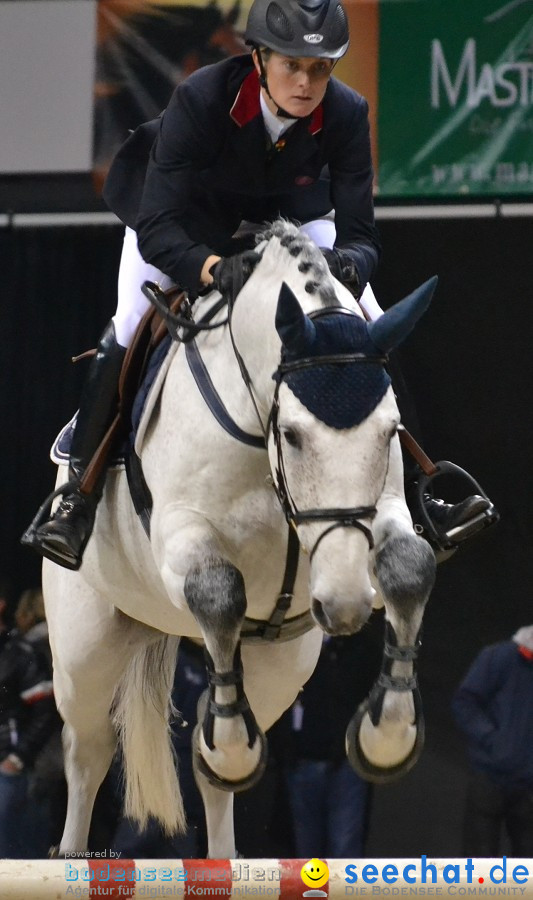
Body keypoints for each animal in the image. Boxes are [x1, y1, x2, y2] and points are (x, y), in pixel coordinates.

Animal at [42, 218, 436, 856]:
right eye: (294, 435)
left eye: (390, 430)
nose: (345, 605)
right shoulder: (181, 536)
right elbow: (218, 590)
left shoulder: (380, 512)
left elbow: (409, 568)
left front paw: (387, 737)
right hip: (85, 646)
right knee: (89, 749)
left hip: (283, 661)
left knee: (213, 756)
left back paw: (225, 797)